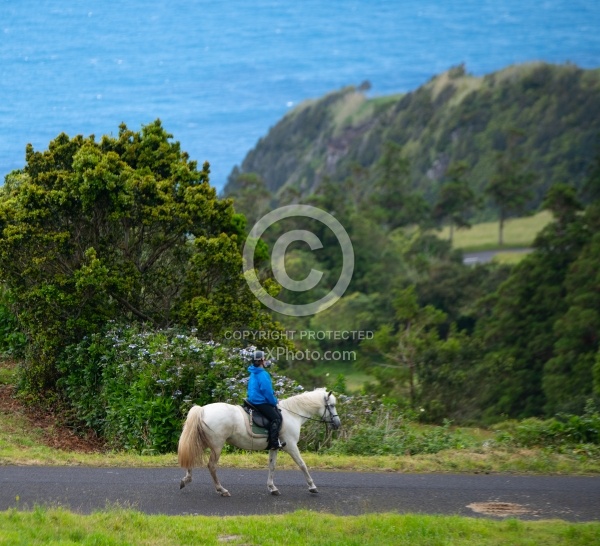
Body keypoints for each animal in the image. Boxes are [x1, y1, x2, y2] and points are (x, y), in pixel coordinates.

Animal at [176, 386, 340, 492]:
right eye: (331, 406)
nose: (338, 424)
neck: (292, 414)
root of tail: (202, 410)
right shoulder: (291, 446)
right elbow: (302, 464)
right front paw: (312, 486)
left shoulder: (275, 447)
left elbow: (272, 466)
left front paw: (272, 488)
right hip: (217, 446)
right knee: (211, 466)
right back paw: (221, 490)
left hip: (203, 442)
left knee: (191, 457)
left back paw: (185, 480)